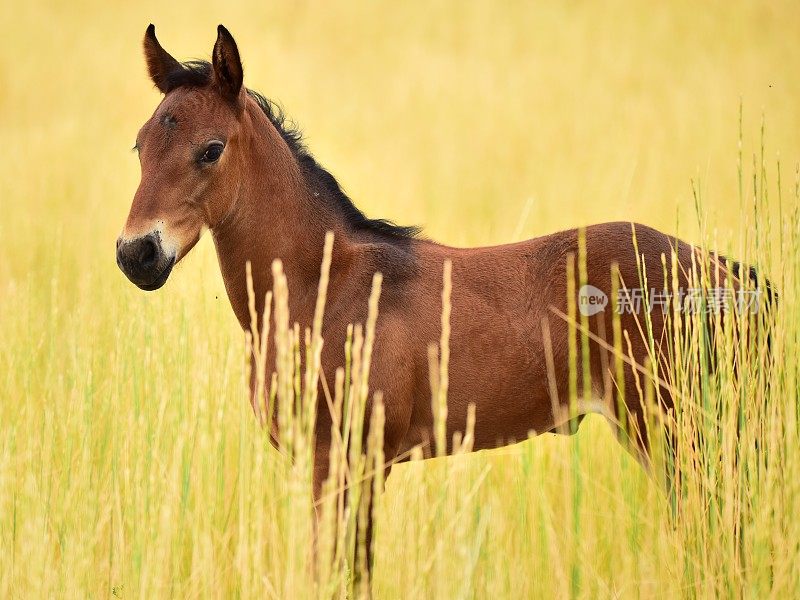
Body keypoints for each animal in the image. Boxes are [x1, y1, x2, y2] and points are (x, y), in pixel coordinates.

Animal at [117, 24, 768, 564]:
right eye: (141, 145)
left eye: (211, 149)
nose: (136, 255)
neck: (322, 288)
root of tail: (728, 274)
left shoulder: (352, 461)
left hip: (676, 428)